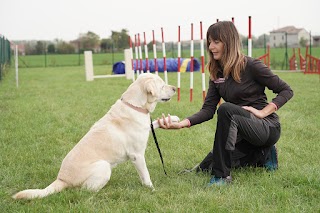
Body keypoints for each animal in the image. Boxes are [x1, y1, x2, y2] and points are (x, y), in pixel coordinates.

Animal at [12, 73, 178, 200]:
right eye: (162, 85)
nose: (175, 88)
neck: (136, 105)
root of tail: (61, 179)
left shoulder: (145, 128)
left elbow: (152, 123)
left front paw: (173, 119)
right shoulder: (137, 155)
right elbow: (146, 175)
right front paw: (152, 189)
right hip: (103, 165)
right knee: (84, 191)